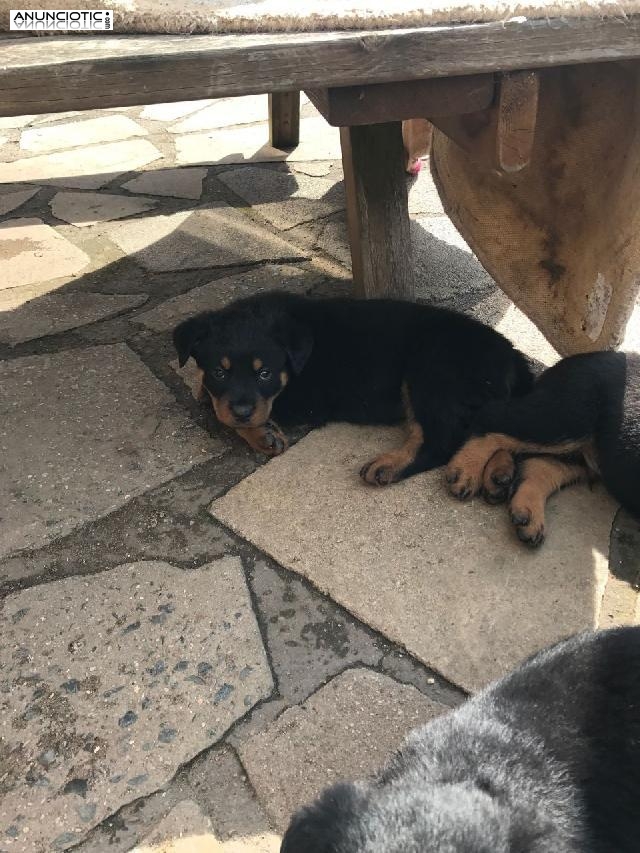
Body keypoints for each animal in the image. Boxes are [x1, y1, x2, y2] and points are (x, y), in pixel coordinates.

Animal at [172, 292, 532, 480]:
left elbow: (225, 413)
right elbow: (213, 401)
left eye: (265, 374)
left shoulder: (306, 401)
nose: (243, 411)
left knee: (440, 440)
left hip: (430, 372)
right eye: (219, 372)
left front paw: (262, 432)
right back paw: (498, 475)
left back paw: (388, 466)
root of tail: (512, 354)